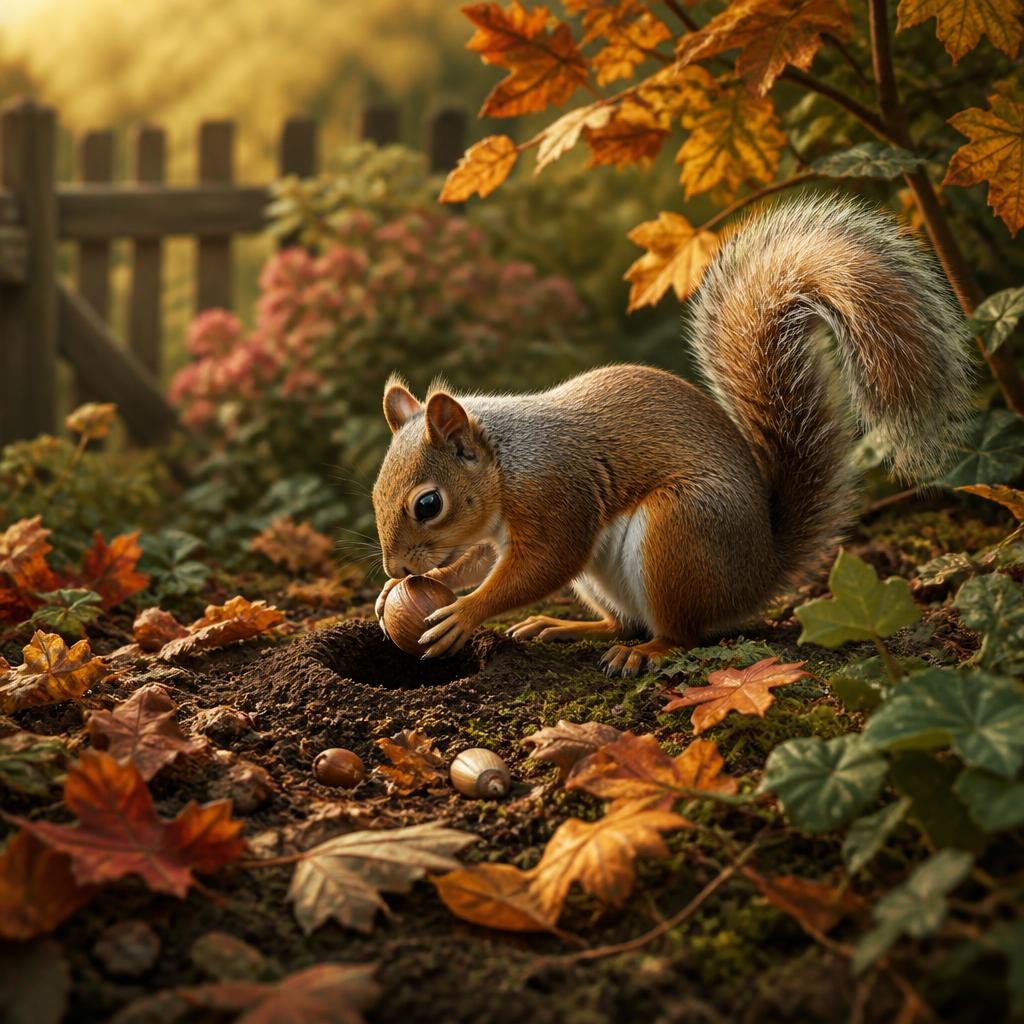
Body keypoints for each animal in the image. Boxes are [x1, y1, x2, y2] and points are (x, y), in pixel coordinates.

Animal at [371, 196, 972, 676]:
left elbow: (541, 565)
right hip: (607, 576)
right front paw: (398, 591)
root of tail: (758, 574)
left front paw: (463, 611)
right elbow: (474, 560)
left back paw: (647, 652)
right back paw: (566, 628)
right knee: (622, 623)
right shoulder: (494, 532)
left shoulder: (557, 495)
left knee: (681, 634)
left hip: (678, 533)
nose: (396, 569)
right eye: (376, 493)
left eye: (428, 504)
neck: (507, 464)